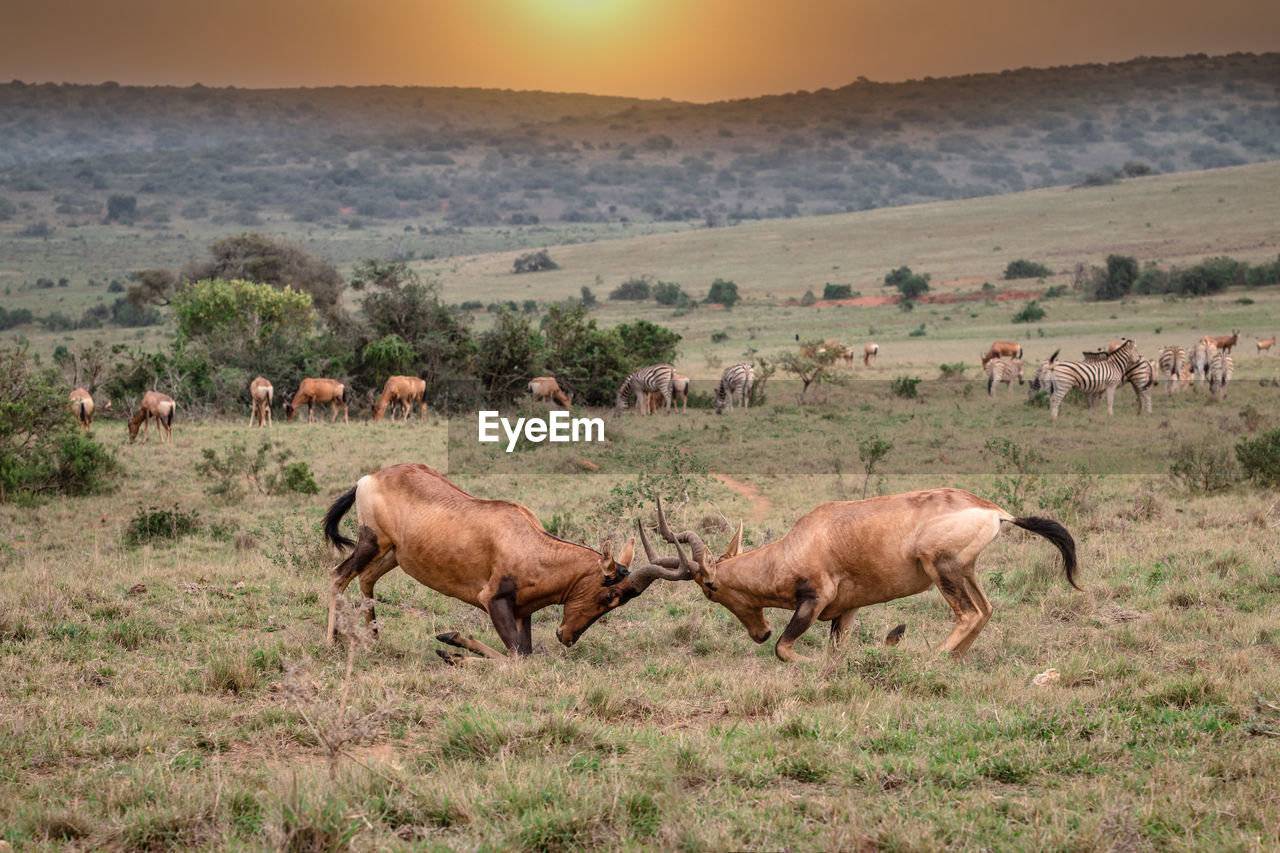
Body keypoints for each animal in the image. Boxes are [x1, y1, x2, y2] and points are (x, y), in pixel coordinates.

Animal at [325, 461, 696, 660]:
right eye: (608, 595)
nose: (567, 637)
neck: (526, 540)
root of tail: (367, 478)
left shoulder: (521, 611)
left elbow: (524, 653)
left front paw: (453, 645)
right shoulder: (494, 600)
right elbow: (516, 657)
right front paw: (451, 645)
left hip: (393, 555)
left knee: (366, 580)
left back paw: (374, 640)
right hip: (371, 543)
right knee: (337, 575)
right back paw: (332, 642)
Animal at [640, 489, 1080, 660]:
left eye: (710, 588)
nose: (759, 632)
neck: (801, 539)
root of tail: (995, 510)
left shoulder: (814, 600)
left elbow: (785, 650)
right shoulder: (847, 611)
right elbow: (838, 650)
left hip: (942, 568)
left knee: (969, 614)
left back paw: (931, 658)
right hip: (965, 570)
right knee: (985, 611)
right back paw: (953, 659)